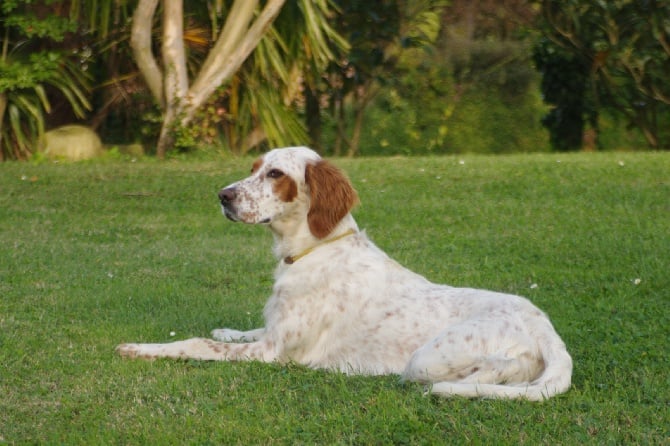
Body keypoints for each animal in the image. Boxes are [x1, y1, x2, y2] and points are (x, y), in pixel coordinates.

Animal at [117, 146, 572, 400]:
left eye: (275, 174)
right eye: (253, 167)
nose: (223, 196)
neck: (312, 249)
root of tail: (547, 329)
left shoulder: (270, 353)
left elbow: (195, 344)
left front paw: (140, 348)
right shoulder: (272, 333)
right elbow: (238, 332)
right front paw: (226, 329)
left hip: (427, 359)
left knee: (498, 370)